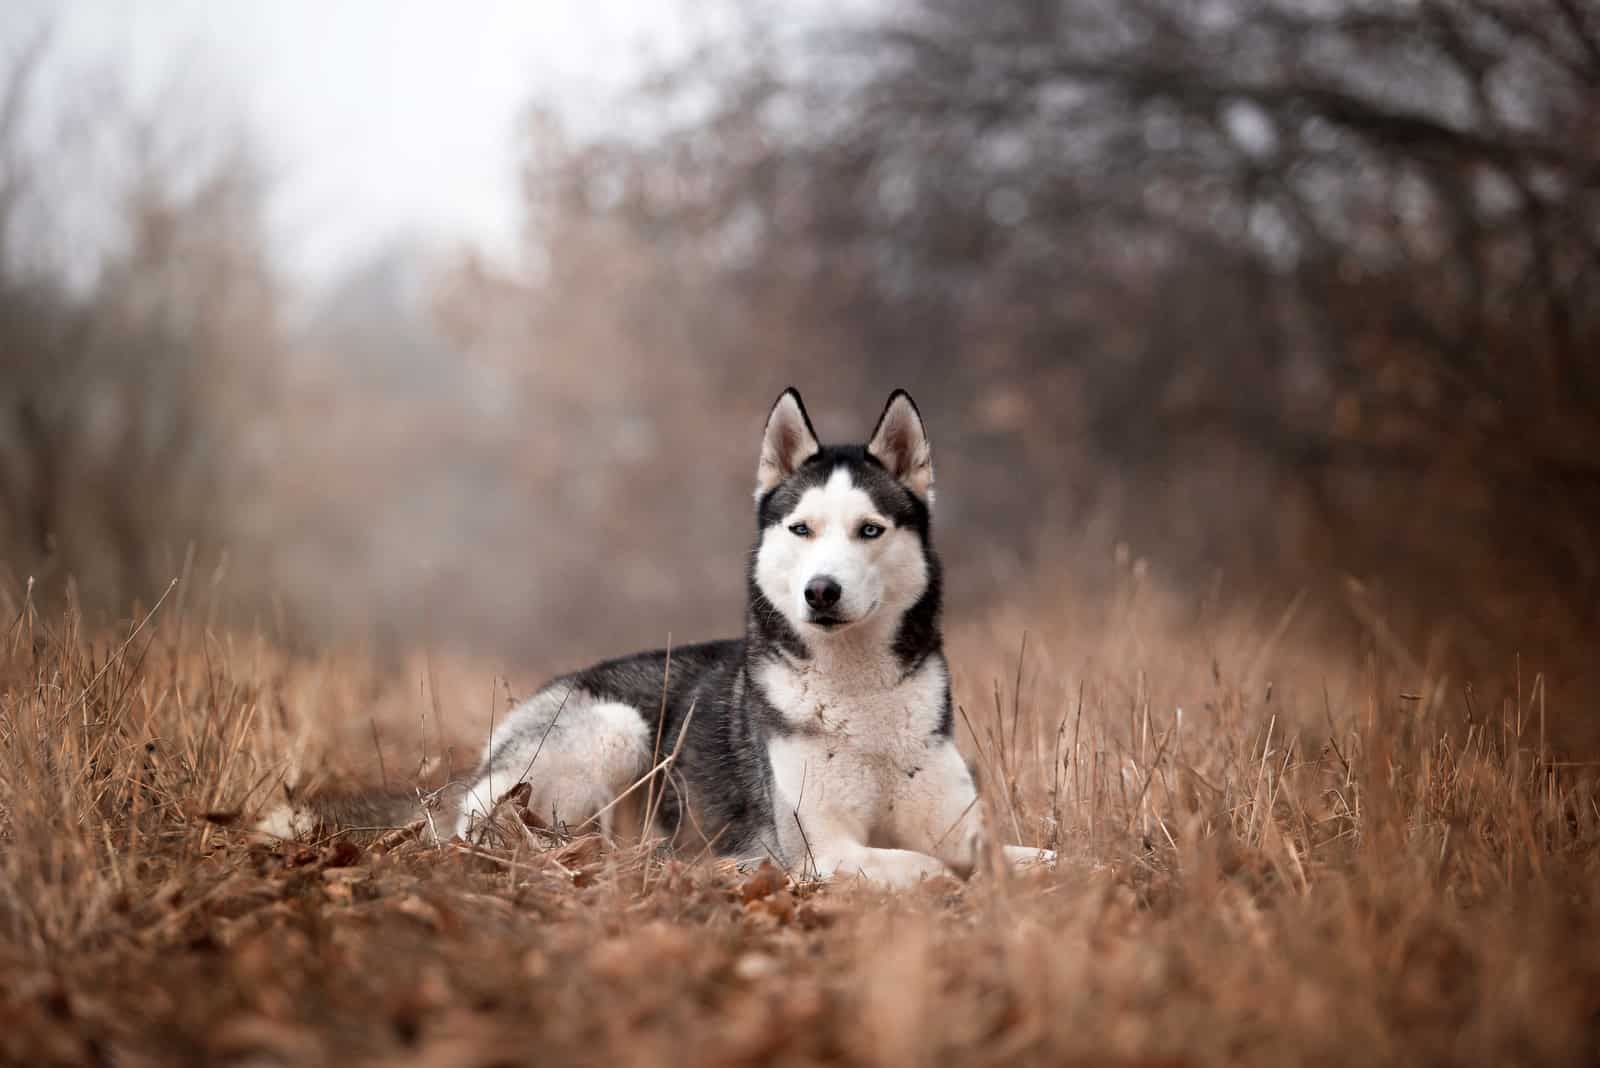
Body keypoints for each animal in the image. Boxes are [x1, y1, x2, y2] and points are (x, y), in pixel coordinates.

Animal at [268, 390, 1056, 882]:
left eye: (870, 529)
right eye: (801, 529)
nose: (821, 591)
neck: (858, 697)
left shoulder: (959, 821)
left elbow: (1041, 856)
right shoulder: (817, 848)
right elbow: (928, 868)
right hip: (614, 730)